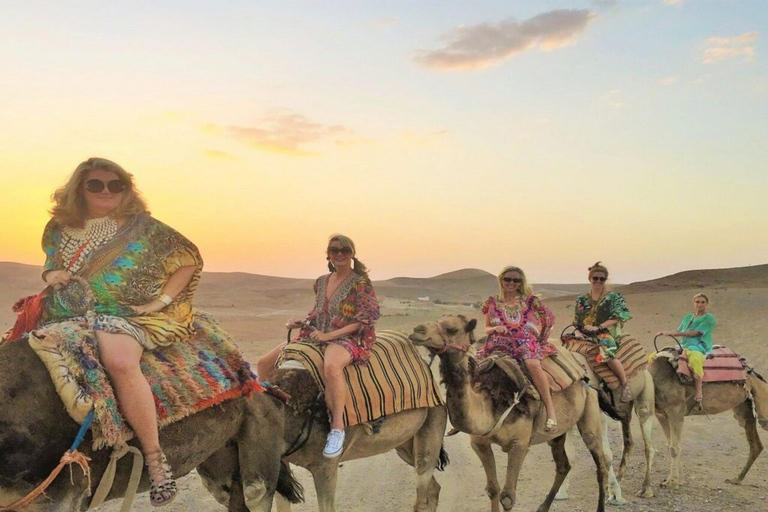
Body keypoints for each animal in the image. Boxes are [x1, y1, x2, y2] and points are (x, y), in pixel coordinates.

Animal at [408, 316, 616, 512]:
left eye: (452, 328)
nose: (417, 330)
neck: (492, 400)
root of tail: (584, 371)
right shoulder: (480, 442)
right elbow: (492, 489)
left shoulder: (520, 445)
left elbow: (508, 497)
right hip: (557, 433)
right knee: (563, 465)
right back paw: (542, 507)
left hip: (590, 408)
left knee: (600, 462)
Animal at [648, 350, 768, 490]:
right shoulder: (662, 414)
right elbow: (671, 446)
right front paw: (675, 481)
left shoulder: (676, 410)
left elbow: (674, 447)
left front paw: (673, 483)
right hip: (744, 407)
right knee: (756, 445)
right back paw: (736, 479)